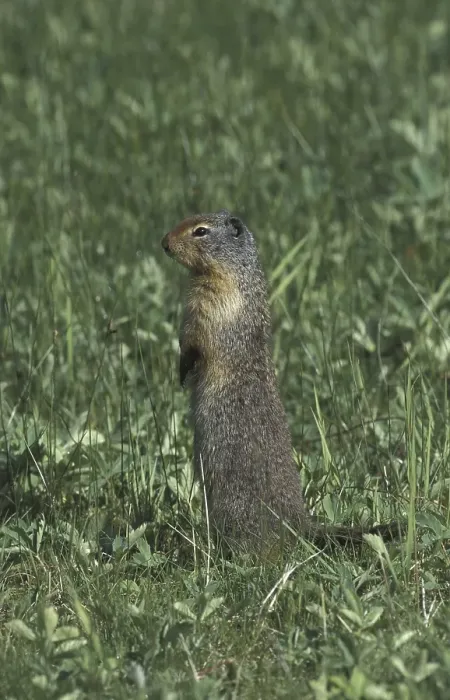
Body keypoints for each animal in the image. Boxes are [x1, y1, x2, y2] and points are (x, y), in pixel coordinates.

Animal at [161, 209, 401, 553]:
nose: (164, 243)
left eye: (201, 231)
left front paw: (183, 370)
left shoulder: (215, 303)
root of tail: (299, 525)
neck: (230, 274)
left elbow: (196, 338)